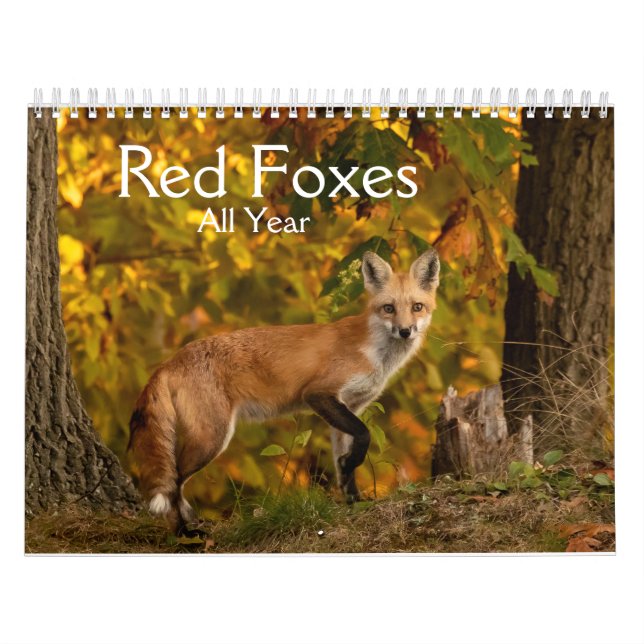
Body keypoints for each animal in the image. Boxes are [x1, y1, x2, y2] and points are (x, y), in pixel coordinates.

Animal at [128, 247, 440, 534]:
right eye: (389, 308)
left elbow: (345, 465)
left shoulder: (350, 406)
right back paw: (183, 533)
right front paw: (352, 474)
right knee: (174, 481)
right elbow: (363, 436)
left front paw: (354, 500)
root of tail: (170, 361)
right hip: (212, 438)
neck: (374, 353)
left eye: (417, 307)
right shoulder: (318, 394)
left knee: (176, 483)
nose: (405, 331)